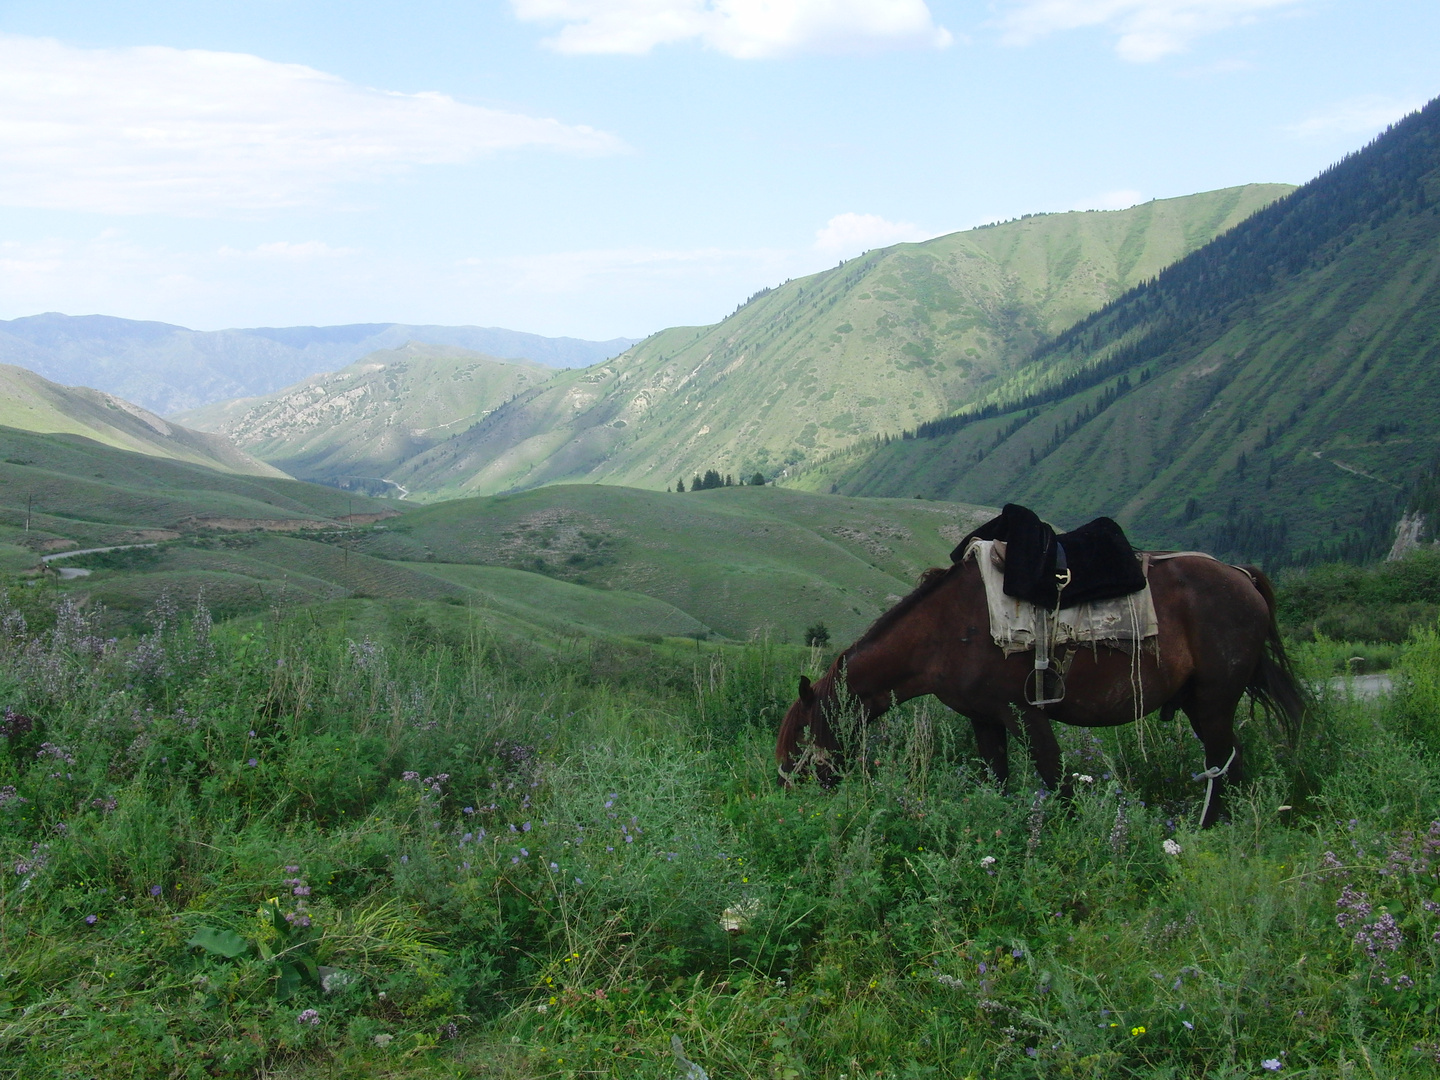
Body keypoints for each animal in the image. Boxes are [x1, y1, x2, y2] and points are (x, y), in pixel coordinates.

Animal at [783, 558, 1313, 829]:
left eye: (801, 740)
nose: (791, 797)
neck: (944, 631)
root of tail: (1241, 575)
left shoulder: (1023, 713)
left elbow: (1055, 778)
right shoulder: (984, 719)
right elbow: (997, 779)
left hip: (1214, 701)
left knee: (1221, 763)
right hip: (1204, 705)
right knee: (1230, 763)